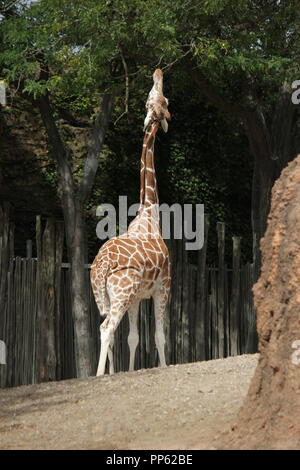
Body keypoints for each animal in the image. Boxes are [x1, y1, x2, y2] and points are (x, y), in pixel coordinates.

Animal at [90, 69, 171, 374]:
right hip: (121, 293)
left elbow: (134, 338)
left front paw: (131, 370)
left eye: (152, 97)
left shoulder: (138, 296)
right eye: (163, 98)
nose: (158, 72)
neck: (149, 213)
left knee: (110, 331)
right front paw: (163, 367)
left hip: (108, 297)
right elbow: (159, 336)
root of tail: (101, 268)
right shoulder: (163, 286)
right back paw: (98, 376)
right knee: (106, 328)